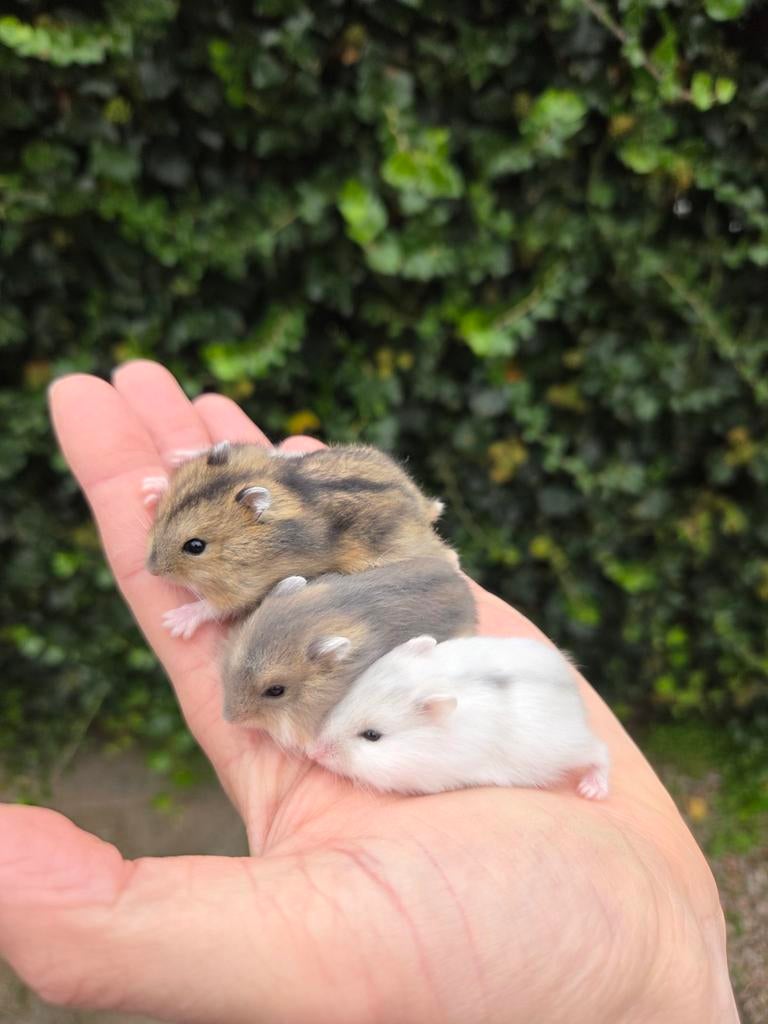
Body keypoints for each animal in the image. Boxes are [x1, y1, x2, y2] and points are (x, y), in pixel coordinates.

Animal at [145, 441, 453, 638]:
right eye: (162, 515)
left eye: (195, 547)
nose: (151, 569)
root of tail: (421, 504)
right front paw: (151, 487)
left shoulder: (246, 586)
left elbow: (213, 605)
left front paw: (172, 623)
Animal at [308, 636, 610, 800]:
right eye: (348, 695)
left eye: (372, 736)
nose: (313, 752)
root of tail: (575, 696)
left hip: (565, 749)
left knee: (601, 752)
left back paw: (591, 790)